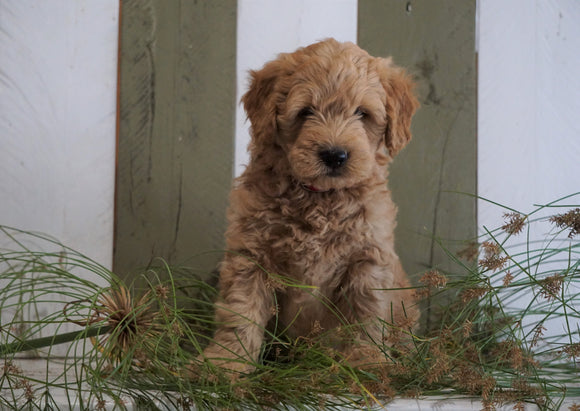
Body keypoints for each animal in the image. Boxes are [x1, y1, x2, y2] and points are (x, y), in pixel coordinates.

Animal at [203, 38, 416, 374]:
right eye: (305, 112)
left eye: (362, 113)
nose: (334, 155)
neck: (321, 198)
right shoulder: (251, 254)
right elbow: (240, 311)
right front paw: (227, 363)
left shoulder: (367, 258)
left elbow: (366, 314)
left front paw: (367, 363)